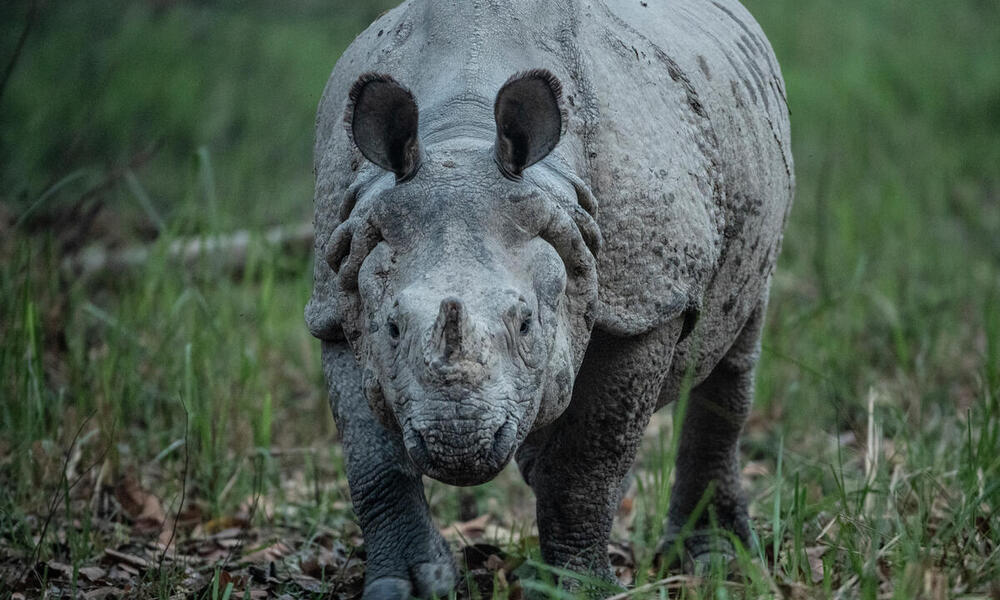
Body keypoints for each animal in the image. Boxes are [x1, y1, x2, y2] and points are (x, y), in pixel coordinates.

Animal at [304, 0, 796, 592]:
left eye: (525, 325)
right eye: (394, 328)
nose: (457, 443)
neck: (460, 136)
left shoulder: (645, 303)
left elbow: (590, 456)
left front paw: (580, 588)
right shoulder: (339, 284)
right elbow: (372, 460)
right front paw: (410, 584)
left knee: (735, 346)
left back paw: (718, 561)